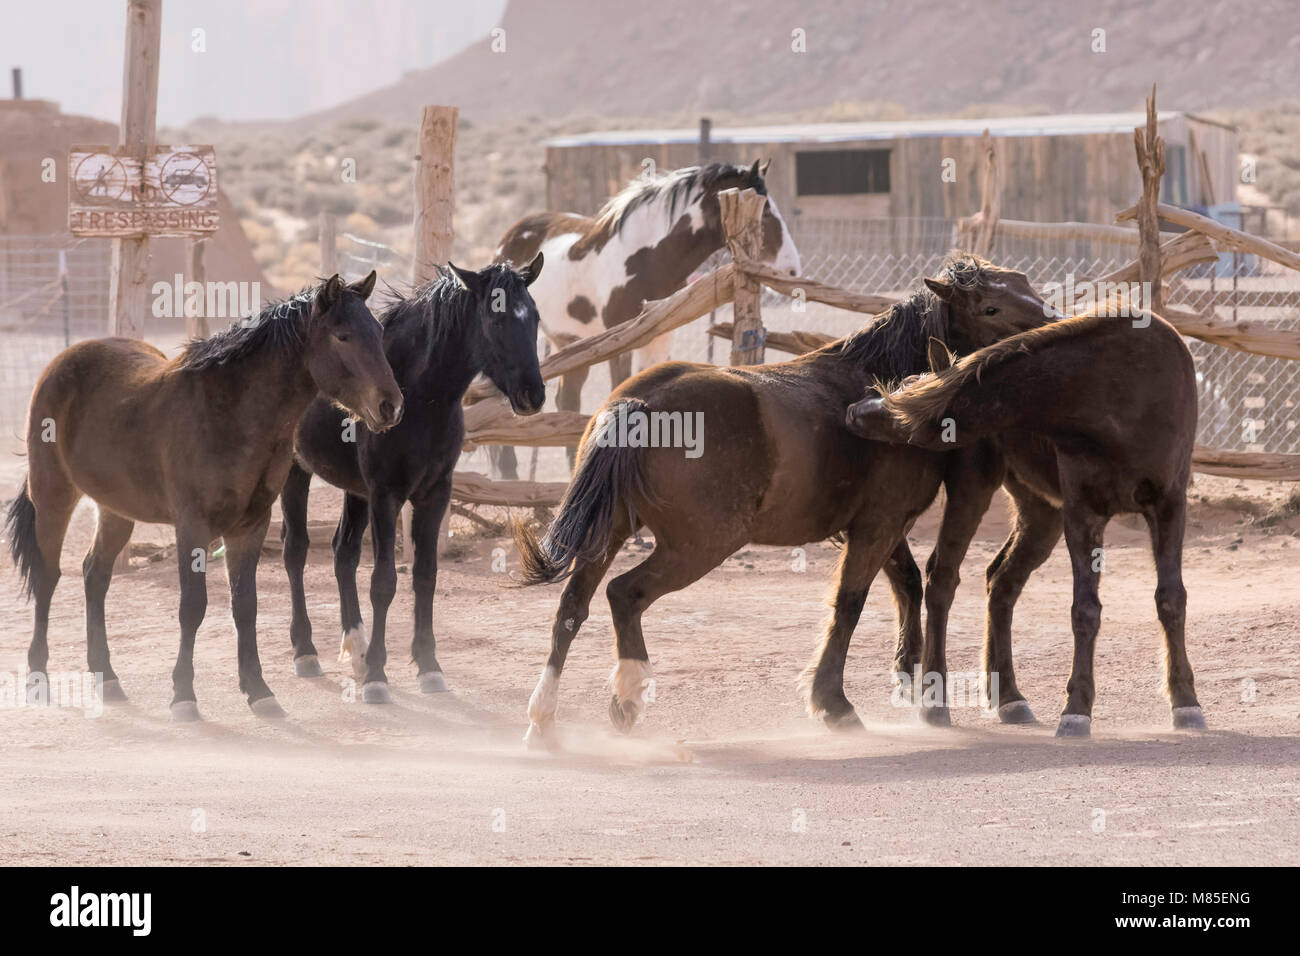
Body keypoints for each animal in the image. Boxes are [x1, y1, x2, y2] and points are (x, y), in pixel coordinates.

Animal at [3, 273, 400, 723]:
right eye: (343, 336)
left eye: (378, 332)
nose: (390, 405)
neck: (230, 415)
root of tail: (62, 361)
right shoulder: (192, 526)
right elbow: (193, 606)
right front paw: (183, 696)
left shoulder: (250, 526)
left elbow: (244, 606)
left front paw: (259, 691)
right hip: (53, 495)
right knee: (47, 576)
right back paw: (38, 677)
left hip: (116, 509)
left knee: (94, 575)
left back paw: (108, 679)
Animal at [282, 254, 546, 702]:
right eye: (495, 320)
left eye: (535, 317)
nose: (533, 395)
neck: (421, 396)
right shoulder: (386, 495)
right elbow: (384, 581)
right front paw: (377, 676)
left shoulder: (433, 494)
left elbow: (425, 575)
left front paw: (428, 667)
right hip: (296, 475)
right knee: (295, 551)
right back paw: (306, 652)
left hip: (355, 492)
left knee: (342, 552)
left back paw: (354, 647)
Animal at [488, 165, 800, 478]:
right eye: (765, 211)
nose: (793, 270)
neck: (647, 259)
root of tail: (507, 240)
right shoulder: (618, 344)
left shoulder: (657, 341)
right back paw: (508, 474)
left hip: (571, 342)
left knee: (567, 400)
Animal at [512, 251, 1050, 743]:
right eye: (990, 307)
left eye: (1030, 288)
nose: (1048, 336)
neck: (883, 390)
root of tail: (638, 403)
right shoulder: (877, 525)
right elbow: (849, 603)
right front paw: (834, 703)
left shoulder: (884, 524)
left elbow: (907, 584)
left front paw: (906, 675)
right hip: (697, 547)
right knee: (624, 595)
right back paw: (626, 698)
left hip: (610, 532)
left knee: (572, 607)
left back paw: (543, 719)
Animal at [847, 310, 1201, 738]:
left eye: (903, 406)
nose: (855, 411)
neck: (1119, 396)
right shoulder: (1082, 513)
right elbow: (1085, 609)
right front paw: (1076, 709)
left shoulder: (1169, 506)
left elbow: (1171, 599)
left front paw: (1185, 701)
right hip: (977, 489)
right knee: (942, 579)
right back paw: (935, 702)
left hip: (1040, 513)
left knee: (1001, 583)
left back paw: (1009, 699)